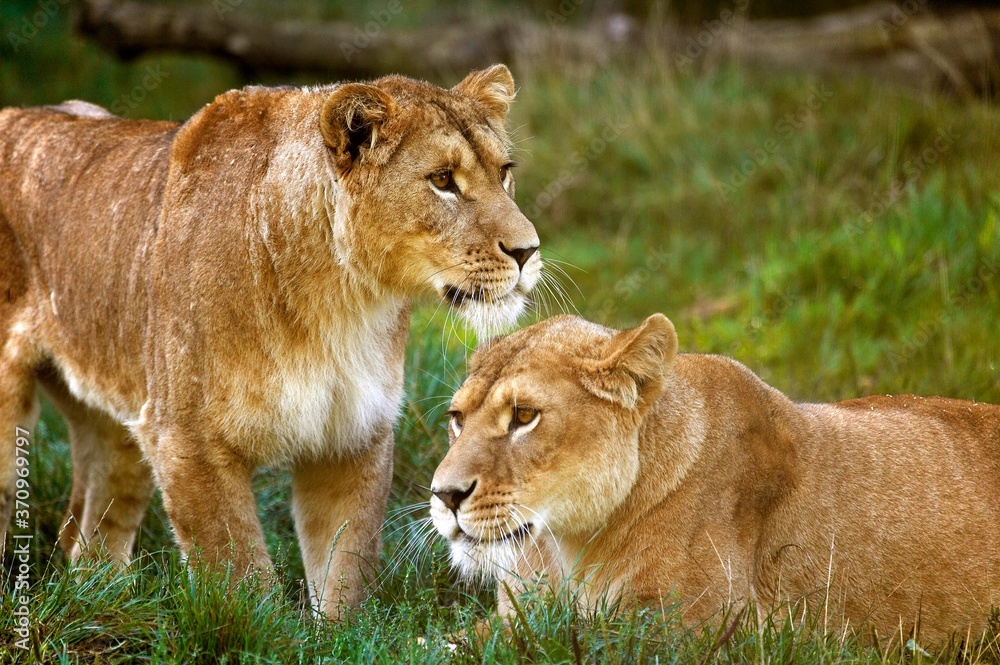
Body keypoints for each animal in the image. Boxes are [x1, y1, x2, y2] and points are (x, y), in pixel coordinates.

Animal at [0, 64, 541, 619]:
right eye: (442, 180)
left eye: (504, 172)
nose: (528, 251)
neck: (338, 300)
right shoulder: (186, 437)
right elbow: (239, 573)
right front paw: (264, 623)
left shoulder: (352, 436)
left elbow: (345, 562)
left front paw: (335, 628)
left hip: (117, 419)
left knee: (90, 533)